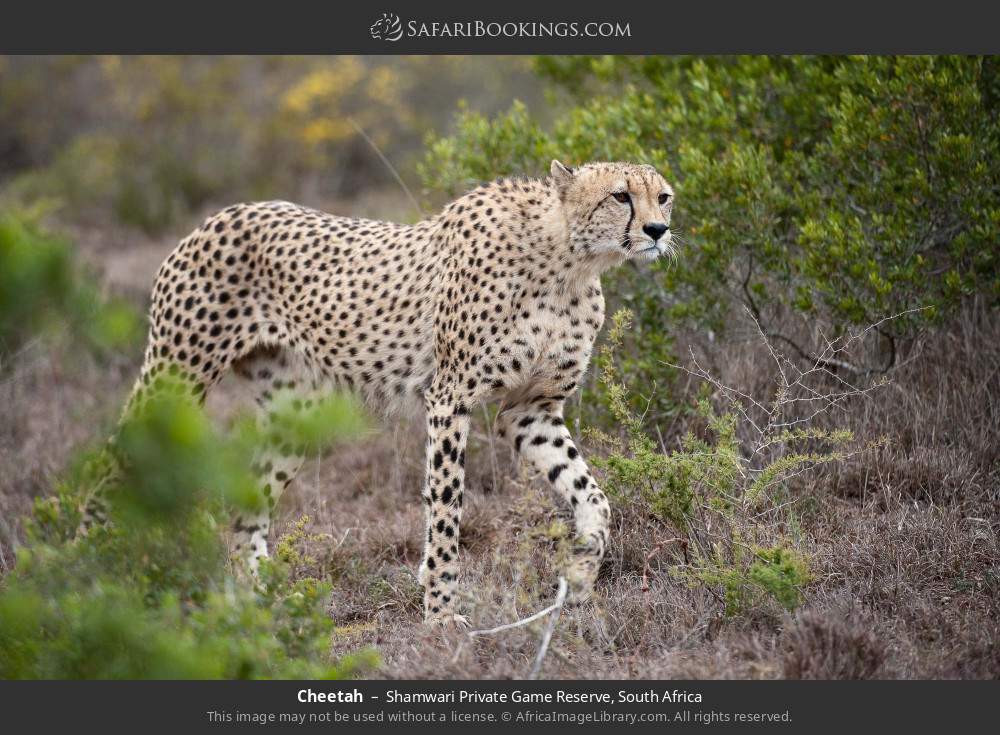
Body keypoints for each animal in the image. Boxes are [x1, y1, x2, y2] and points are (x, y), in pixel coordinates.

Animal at [83, 160, 676, 626]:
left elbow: (593, 496)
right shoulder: (450, 399)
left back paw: (259, 602)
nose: (657, 229)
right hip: (176, 374)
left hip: (291, 413)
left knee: (248, 506)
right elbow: (445, 513)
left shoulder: (531, 410)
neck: (570, 261)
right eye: (620, 195)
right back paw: (83, 568)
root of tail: (218, 216)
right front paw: (441, 615)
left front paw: (581, 578)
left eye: (663, 196)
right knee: (111, 458)